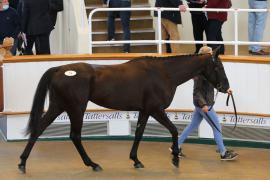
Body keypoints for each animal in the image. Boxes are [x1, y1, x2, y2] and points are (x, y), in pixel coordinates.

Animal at [18, 47, 230, 173]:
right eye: (218, 67)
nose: (226, 87)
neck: (164, 73)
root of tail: (60, 69)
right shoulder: (155, 109)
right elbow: (173, 130)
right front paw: (175, 158)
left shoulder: (145, 110)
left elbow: (138, 133)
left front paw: (136, 160)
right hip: (76, 108)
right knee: (75, 136)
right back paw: (92, 164)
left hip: (58, 106)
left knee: (38, 130)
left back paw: (22, 162)